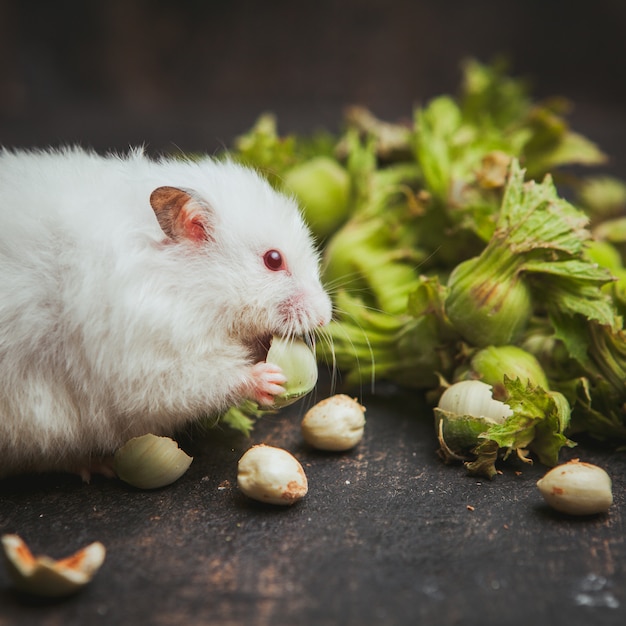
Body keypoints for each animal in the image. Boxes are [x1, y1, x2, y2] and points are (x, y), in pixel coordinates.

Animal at [0, 146, 332, 476]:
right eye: (273, 260)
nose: (325, 317)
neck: (185, 288)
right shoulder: (150, 358)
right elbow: (206, 379)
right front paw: (268, 379)